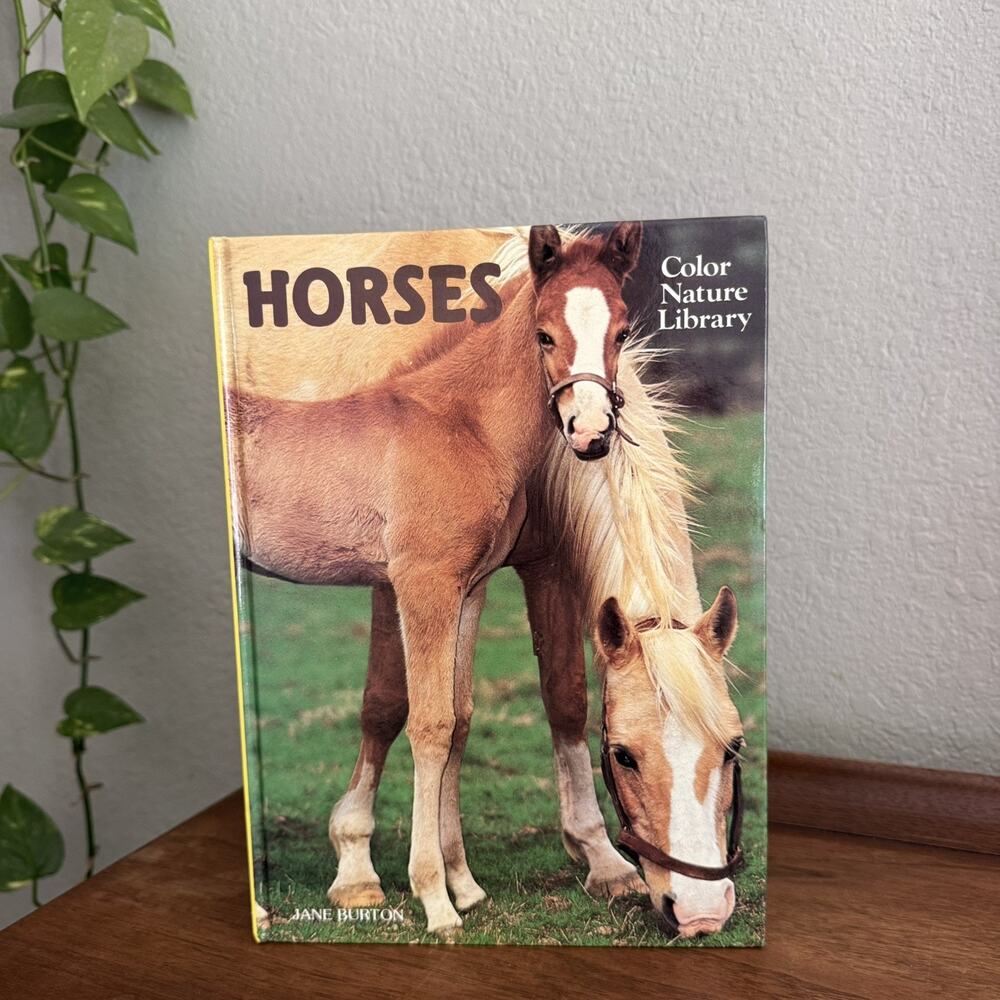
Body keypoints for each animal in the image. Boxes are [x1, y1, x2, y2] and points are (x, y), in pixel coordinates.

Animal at [221, 222, 643, 933]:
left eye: (621, 331)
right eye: (544, 334)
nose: (590, 434)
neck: (462, 422)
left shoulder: (468, 588)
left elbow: (461, 717)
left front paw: (464, 885)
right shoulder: (424, 585)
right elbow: (428, 724)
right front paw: (434, 901)